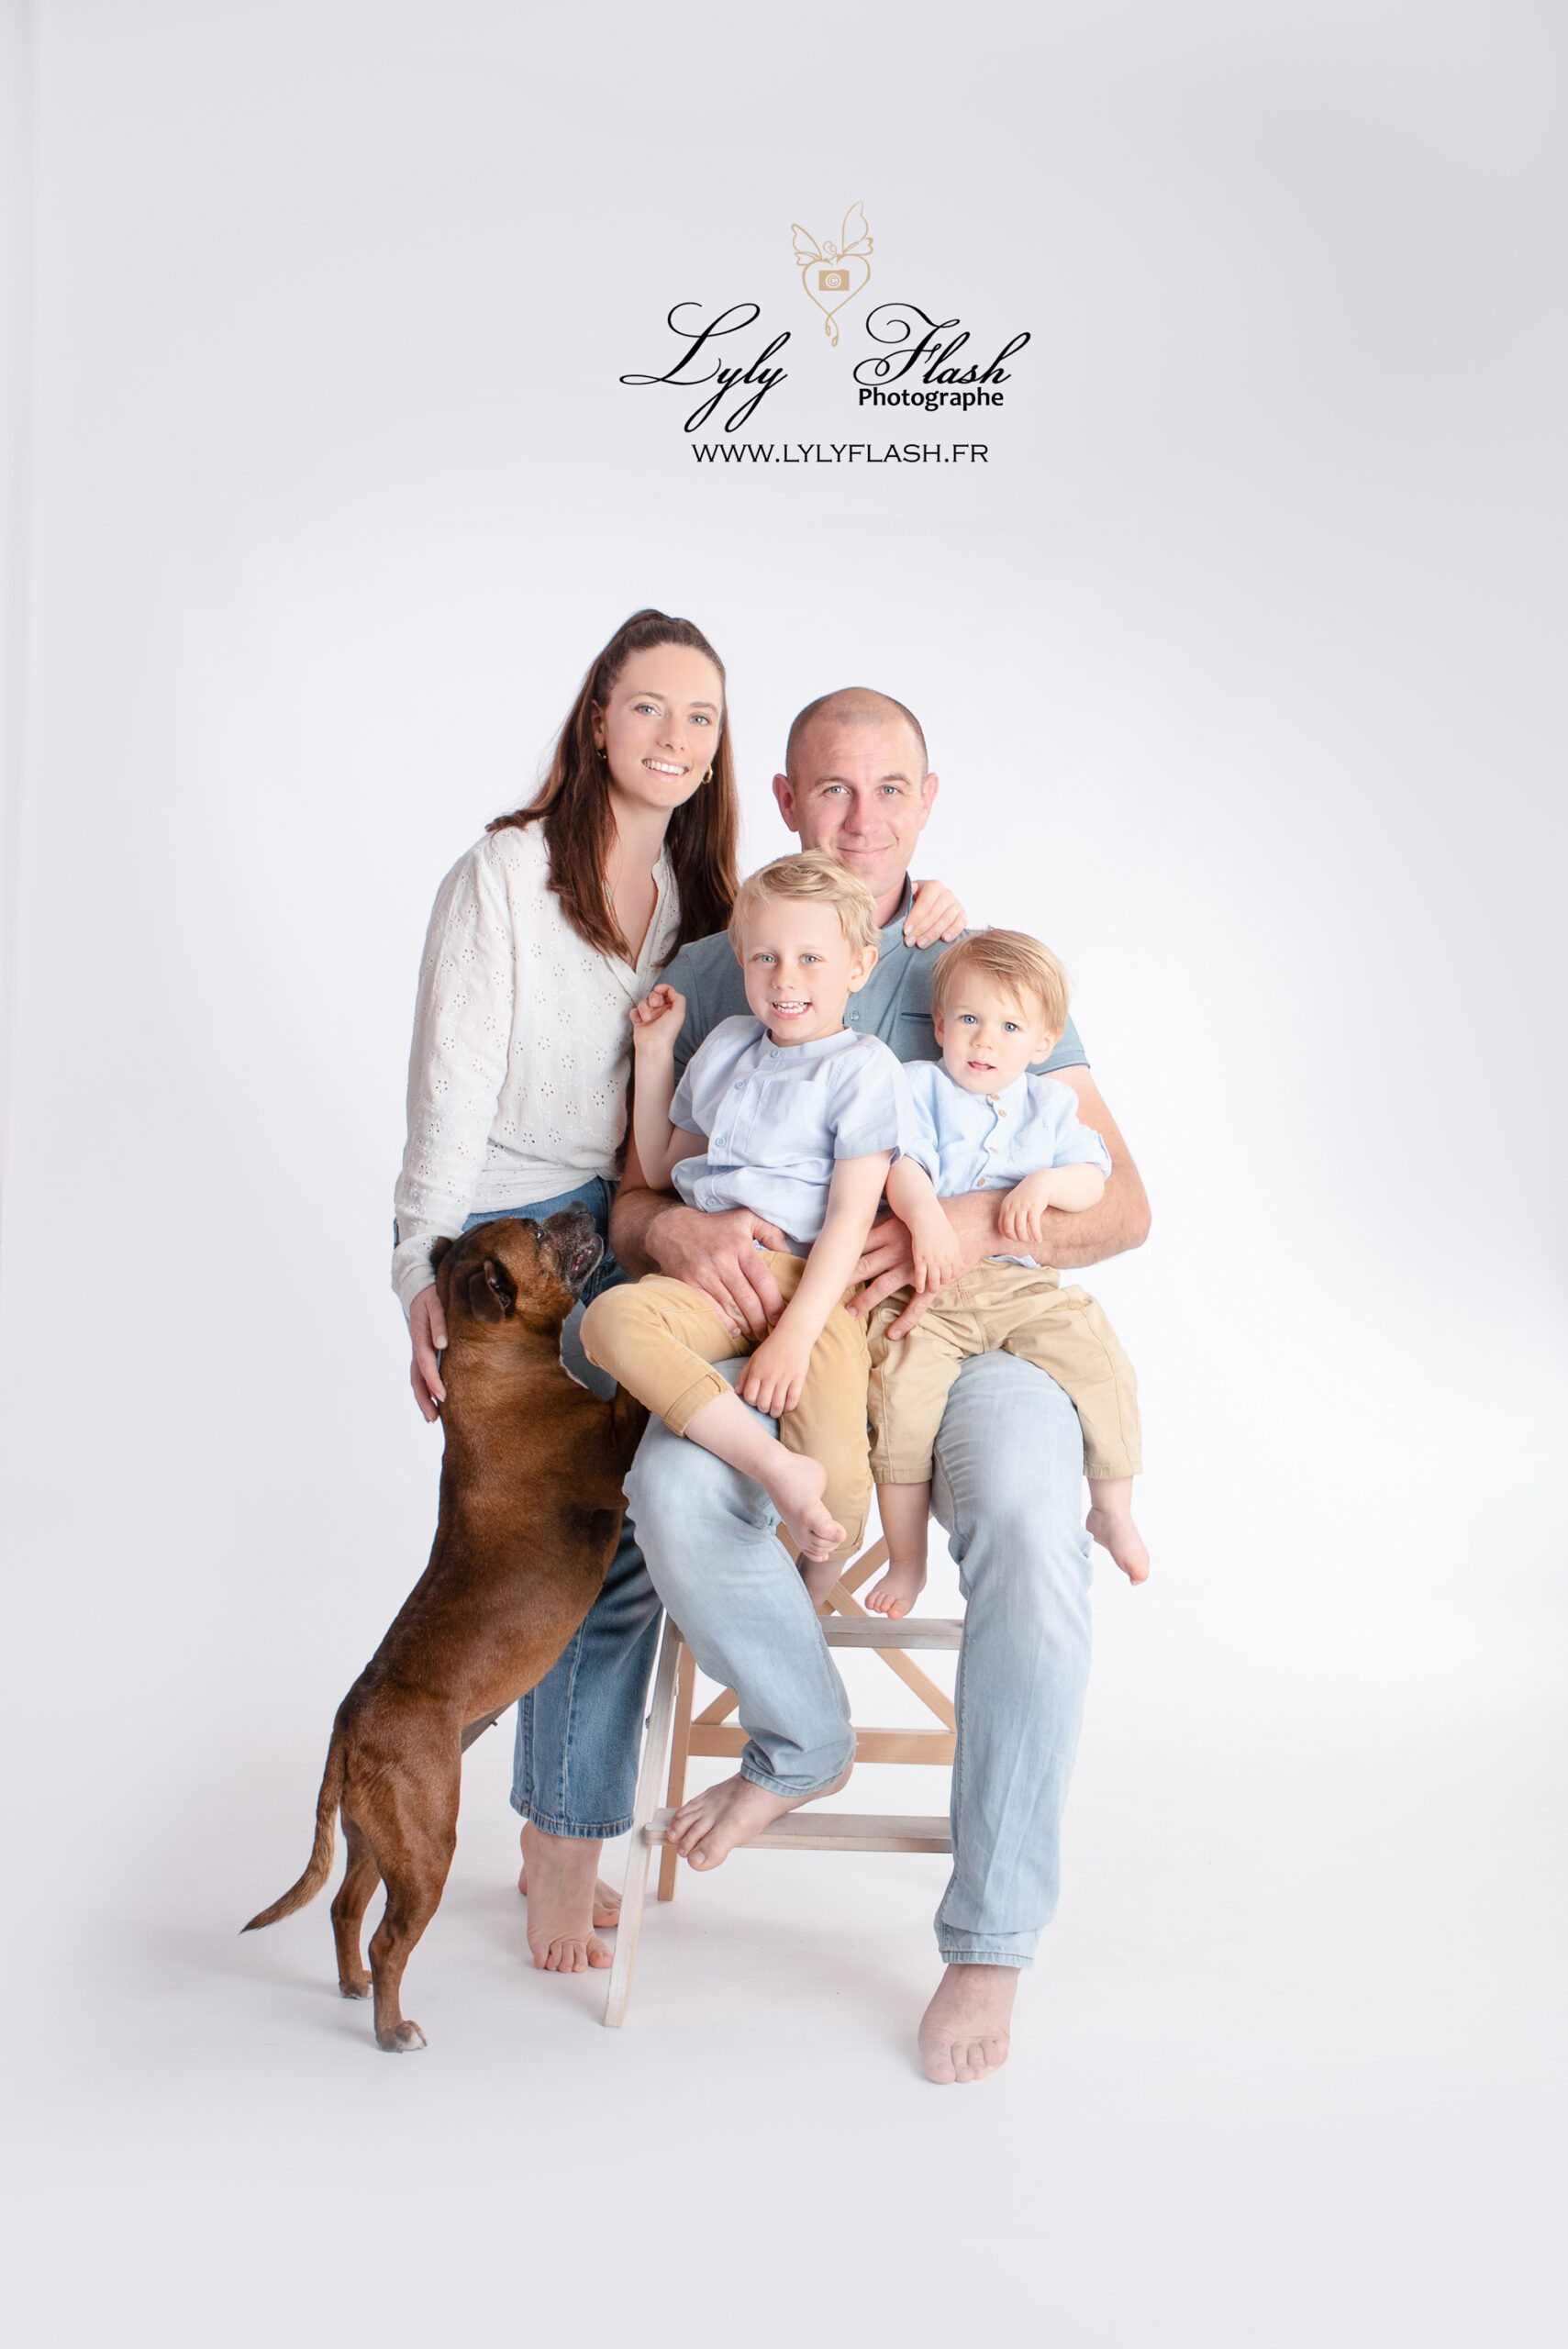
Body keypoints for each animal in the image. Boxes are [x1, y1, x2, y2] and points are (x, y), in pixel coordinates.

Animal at [241, 1221, 648, 2048]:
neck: (493, 1363)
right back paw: (393, 2027)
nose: (576, 1211)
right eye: (540, 1232)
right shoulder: (614, 1442)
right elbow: (628, 1397)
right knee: (388, 1939)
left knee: (344, 1910)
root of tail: (346, 1730)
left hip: (377, 1839)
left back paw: (354, 1988)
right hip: (427, 1848)